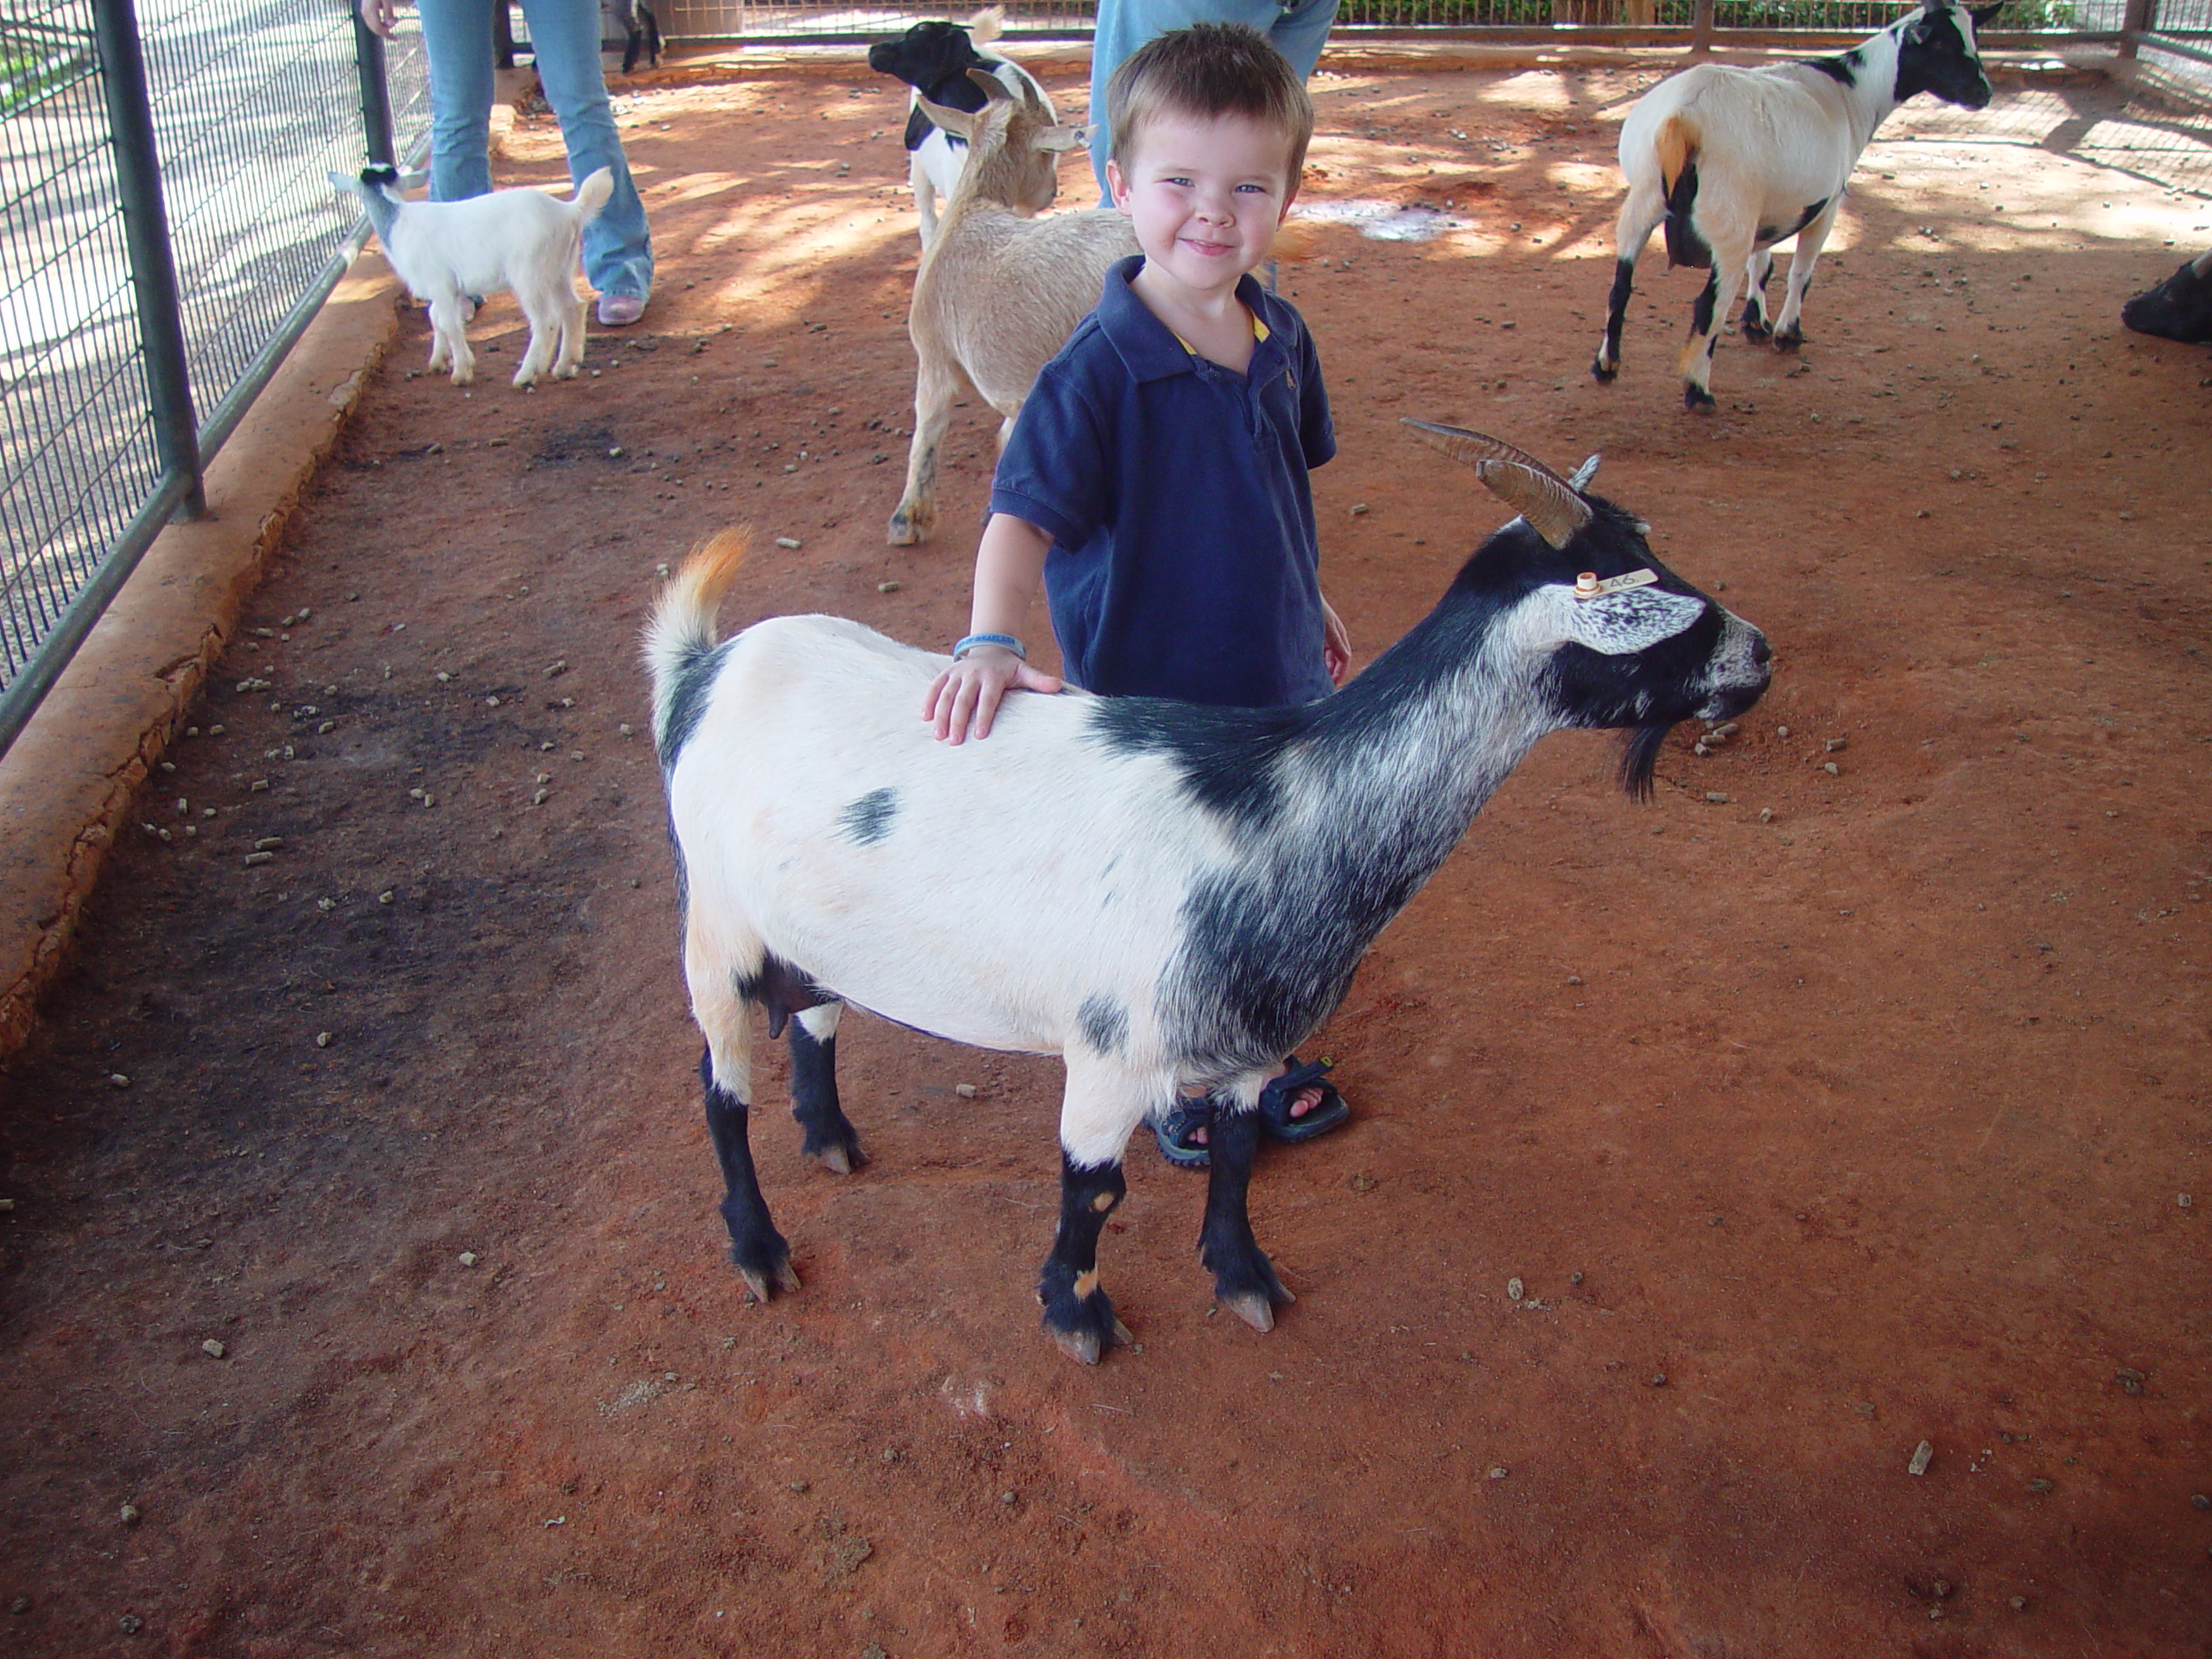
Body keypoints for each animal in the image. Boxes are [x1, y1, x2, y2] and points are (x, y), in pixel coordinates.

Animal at [645, 424, 1770, 1362]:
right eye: (1628, 591)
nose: (1758, 654)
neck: (1273, 811)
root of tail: (706, 668)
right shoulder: (1109, 1054)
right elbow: (1095, 1192)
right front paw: (1078, 1318)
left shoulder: (1245, 1044)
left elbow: (1234, 1153)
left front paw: (1243, 1279)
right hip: (713, 931)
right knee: (719, 1090)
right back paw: (759, 1250)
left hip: (808, 930)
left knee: (815, 1016)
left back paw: (831, 1139)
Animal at [1592, 0, 2008, 413]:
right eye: (1939, 43)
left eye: (1973, 36)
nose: (1982, 93)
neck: (1855, 92)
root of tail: (1684, 118)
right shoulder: (1827, 206)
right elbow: (1800, 273)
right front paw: (1787, 333)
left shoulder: (1767, 208)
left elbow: (1762, 264)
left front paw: (1755, 321)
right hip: (1727, 216)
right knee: (1708, 305)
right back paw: (1698, 390)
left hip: (1647, 200)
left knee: (1620, 286)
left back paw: (1606, 365)